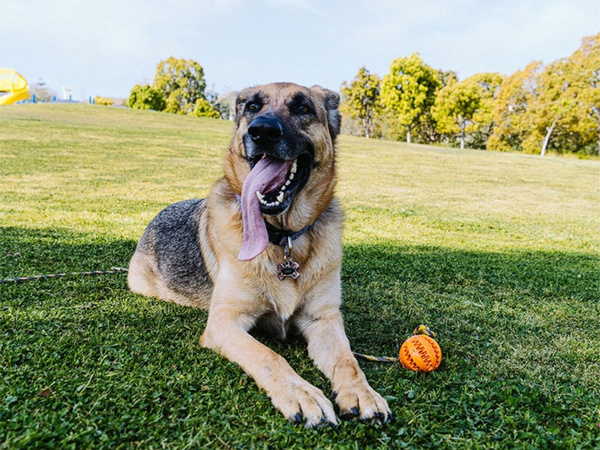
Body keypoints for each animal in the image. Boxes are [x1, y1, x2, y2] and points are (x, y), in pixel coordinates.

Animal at [128, 82, 392, 428]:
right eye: (253, 106)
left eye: (303, 108)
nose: (262, 131)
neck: (283, 240)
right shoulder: (224, 323)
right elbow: (269, 355)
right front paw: (301, 393)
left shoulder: (323, 320)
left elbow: (347, 361)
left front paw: (362, 393)